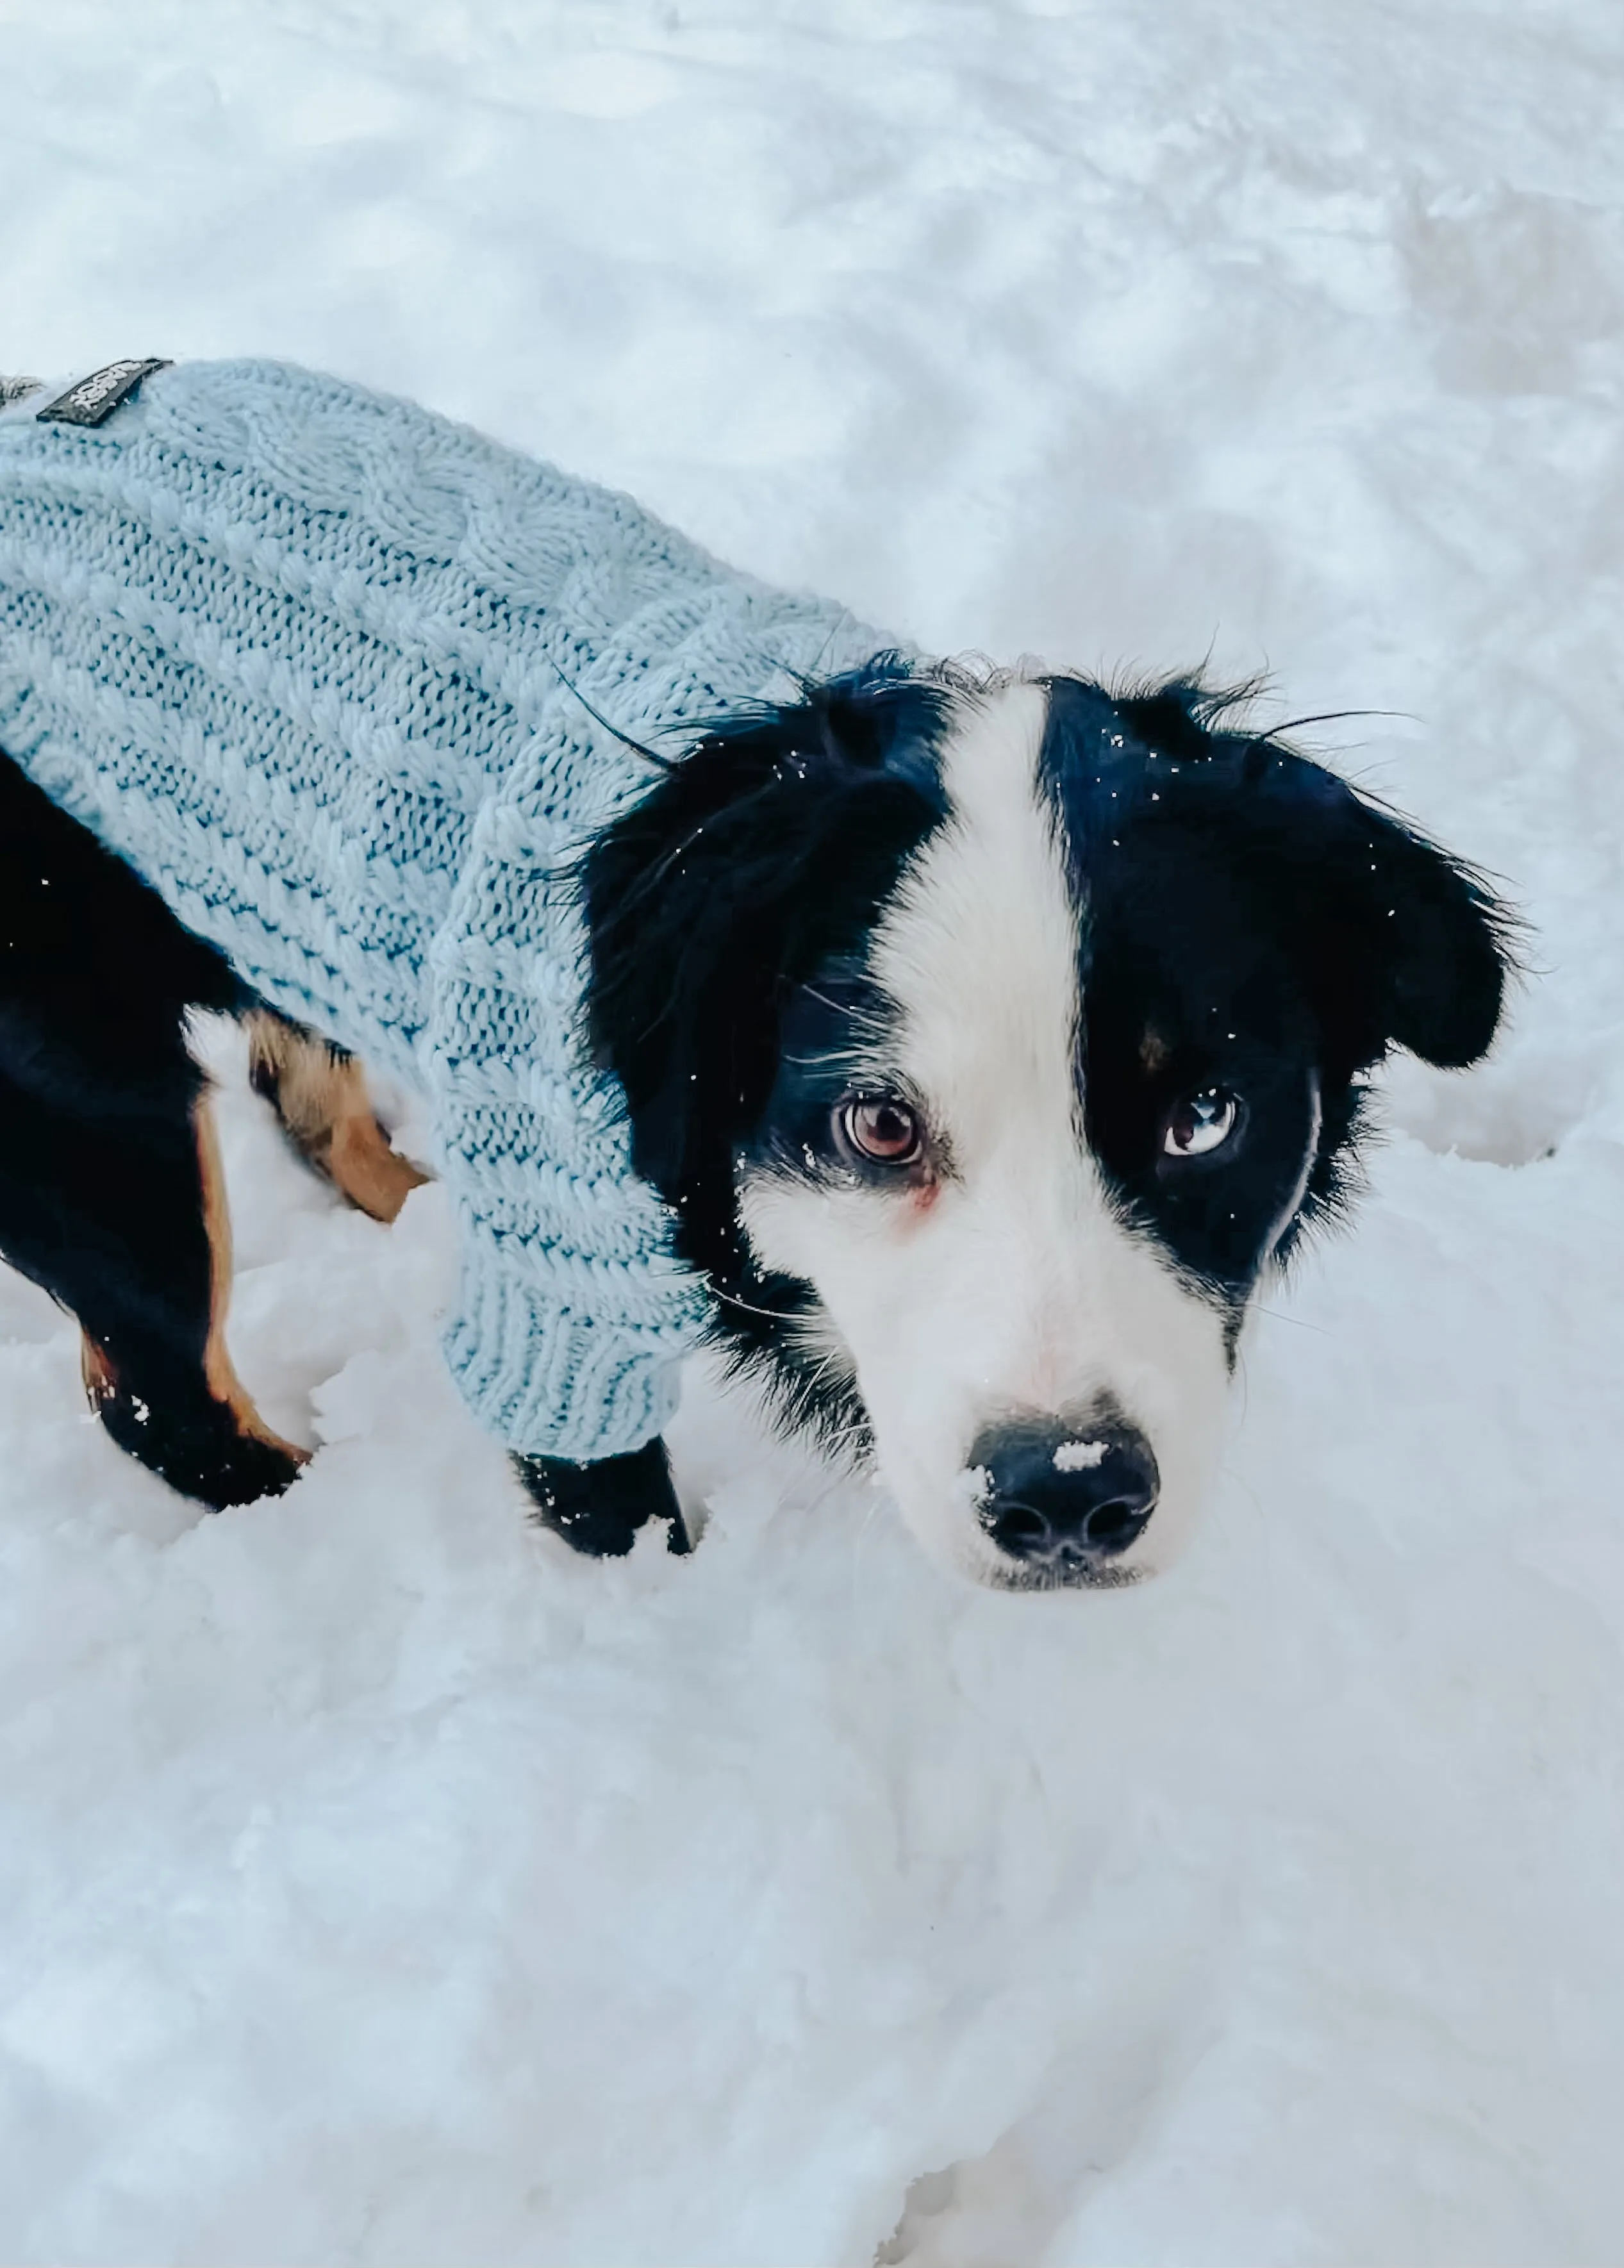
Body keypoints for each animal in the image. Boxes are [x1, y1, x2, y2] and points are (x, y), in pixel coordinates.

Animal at [0, 363, 1515, 1587]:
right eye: (877, 1121)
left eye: (1205, 1115)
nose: (1067, 1495)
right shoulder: (566, 1312)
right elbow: (622, 1516)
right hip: (99, 1125)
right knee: (162, 1403)